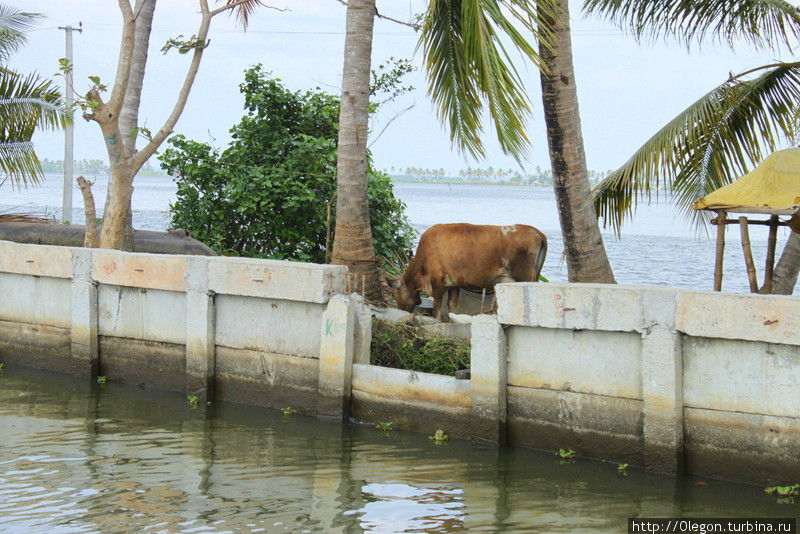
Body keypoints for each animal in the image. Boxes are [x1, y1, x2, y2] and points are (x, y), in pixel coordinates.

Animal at [386, 223, 548, 322]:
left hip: (524, 277)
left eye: (395, 295)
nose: (401, 311)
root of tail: (537, 232)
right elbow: (452, 305)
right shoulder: (454, 284)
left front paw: (438, 321)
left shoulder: (436, 280)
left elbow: (437, 305)